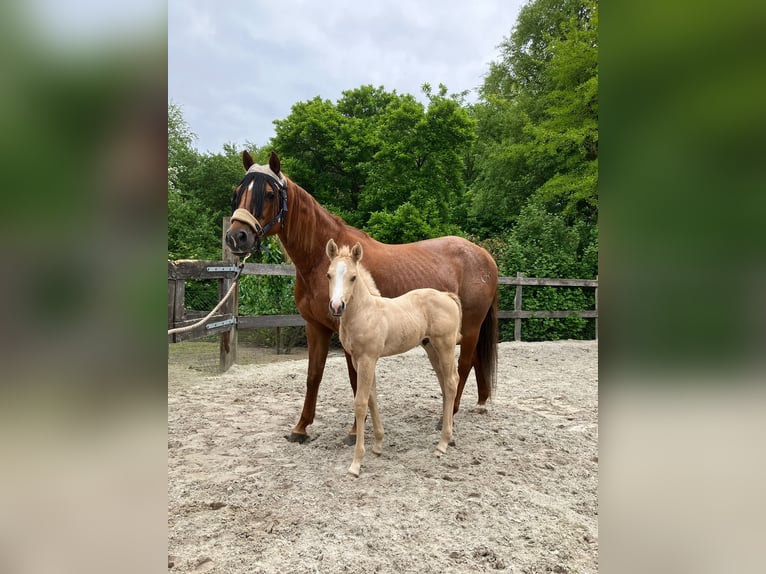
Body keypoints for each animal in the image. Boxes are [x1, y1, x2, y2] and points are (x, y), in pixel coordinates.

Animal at [225, 151, 498, 444]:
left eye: (269, 194)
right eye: (237, 192)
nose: (236, 237)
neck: (322, 261)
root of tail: (486, 256)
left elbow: (356, 379)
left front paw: (355, 431)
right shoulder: (316, 327)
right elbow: (314, 375)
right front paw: (301, 428)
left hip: (469, 328)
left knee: (463, 365)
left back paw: (448, 417)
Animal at [325, 239, 462, 476]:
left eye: (353, 277)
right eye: (329, 275)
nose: (336, 306)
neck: (365, 312)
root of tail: (446, 296)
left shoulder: (368, 358)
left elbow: (361, 403)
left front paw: (356, 463)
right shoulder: (358, 360)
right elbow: (372, 398)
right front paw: (378, 445)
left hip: (445, 345)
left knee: (452, 382)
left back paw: (442, 444)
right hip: (431, 348)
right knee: (445, 383)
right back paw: (448, 437)